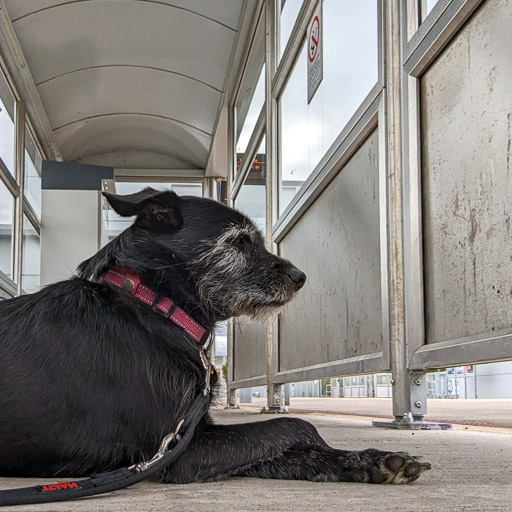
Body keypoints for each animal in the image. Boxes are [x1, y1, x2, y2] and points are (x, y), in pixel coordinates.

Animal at [0, 189, 432, 484]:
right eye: (239, 240)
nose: (300, 277)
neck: (153, 304)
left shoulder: (198, 436)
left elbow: (286, 446)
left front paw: (365, 460)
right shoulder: (178, 451)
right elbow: (295, 425)